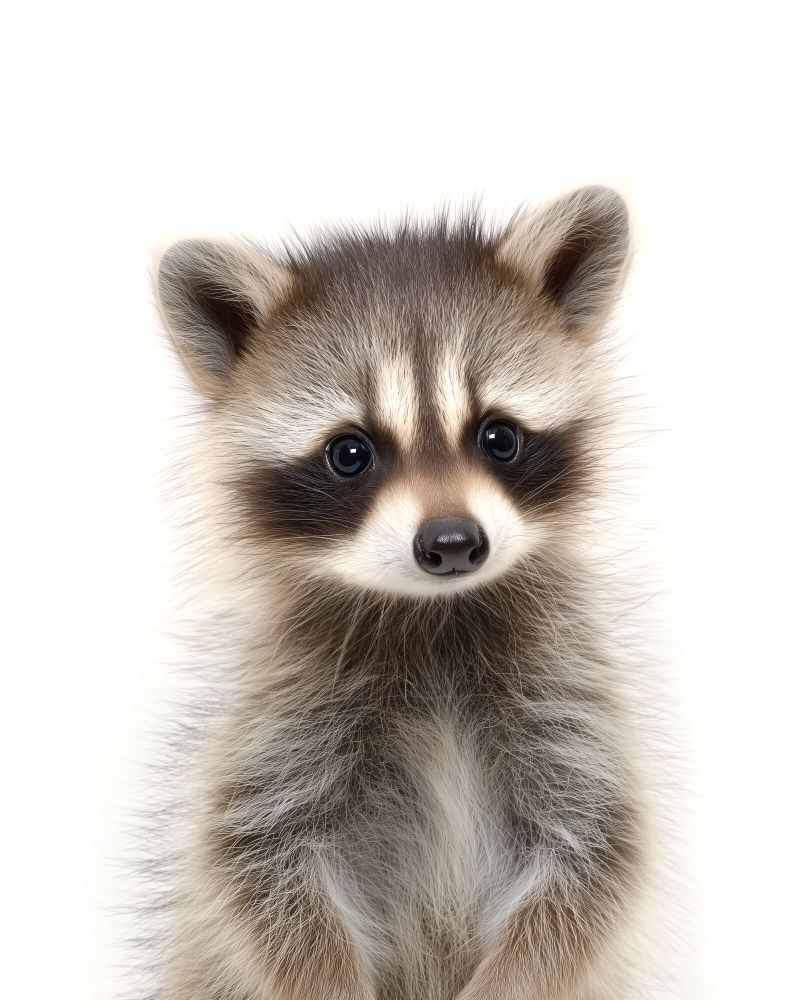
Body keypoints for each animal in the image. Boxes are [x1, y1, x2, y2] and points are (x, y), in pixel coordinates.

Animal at [154, 186, 649, 1000]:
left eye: (498, 437)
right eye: (350, 453)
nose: (452, 543)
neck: (432, 611)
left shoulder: (568, 695)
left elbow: (593, 855)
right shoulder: (282, 711)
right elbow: (260, 861)